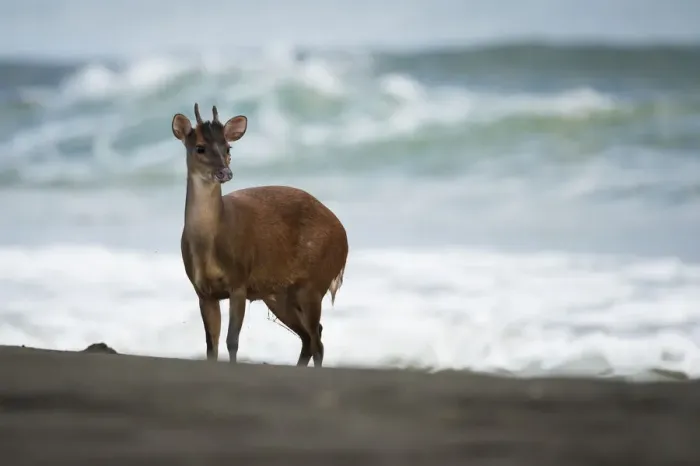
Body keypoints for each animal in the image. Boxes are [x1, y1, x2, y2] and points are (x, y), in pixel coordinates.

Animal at [171, 103, 348, 368]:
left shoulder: (239, 279)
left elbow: (232, 340)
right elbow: (211, 346)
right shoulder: (203, 291)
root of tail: (344, 235)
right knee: (310, 337)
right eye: (200, 147)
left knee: (317, 341)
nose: (225, 173)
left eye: (228, 147)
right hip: (279, 293)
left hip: (315, 282)